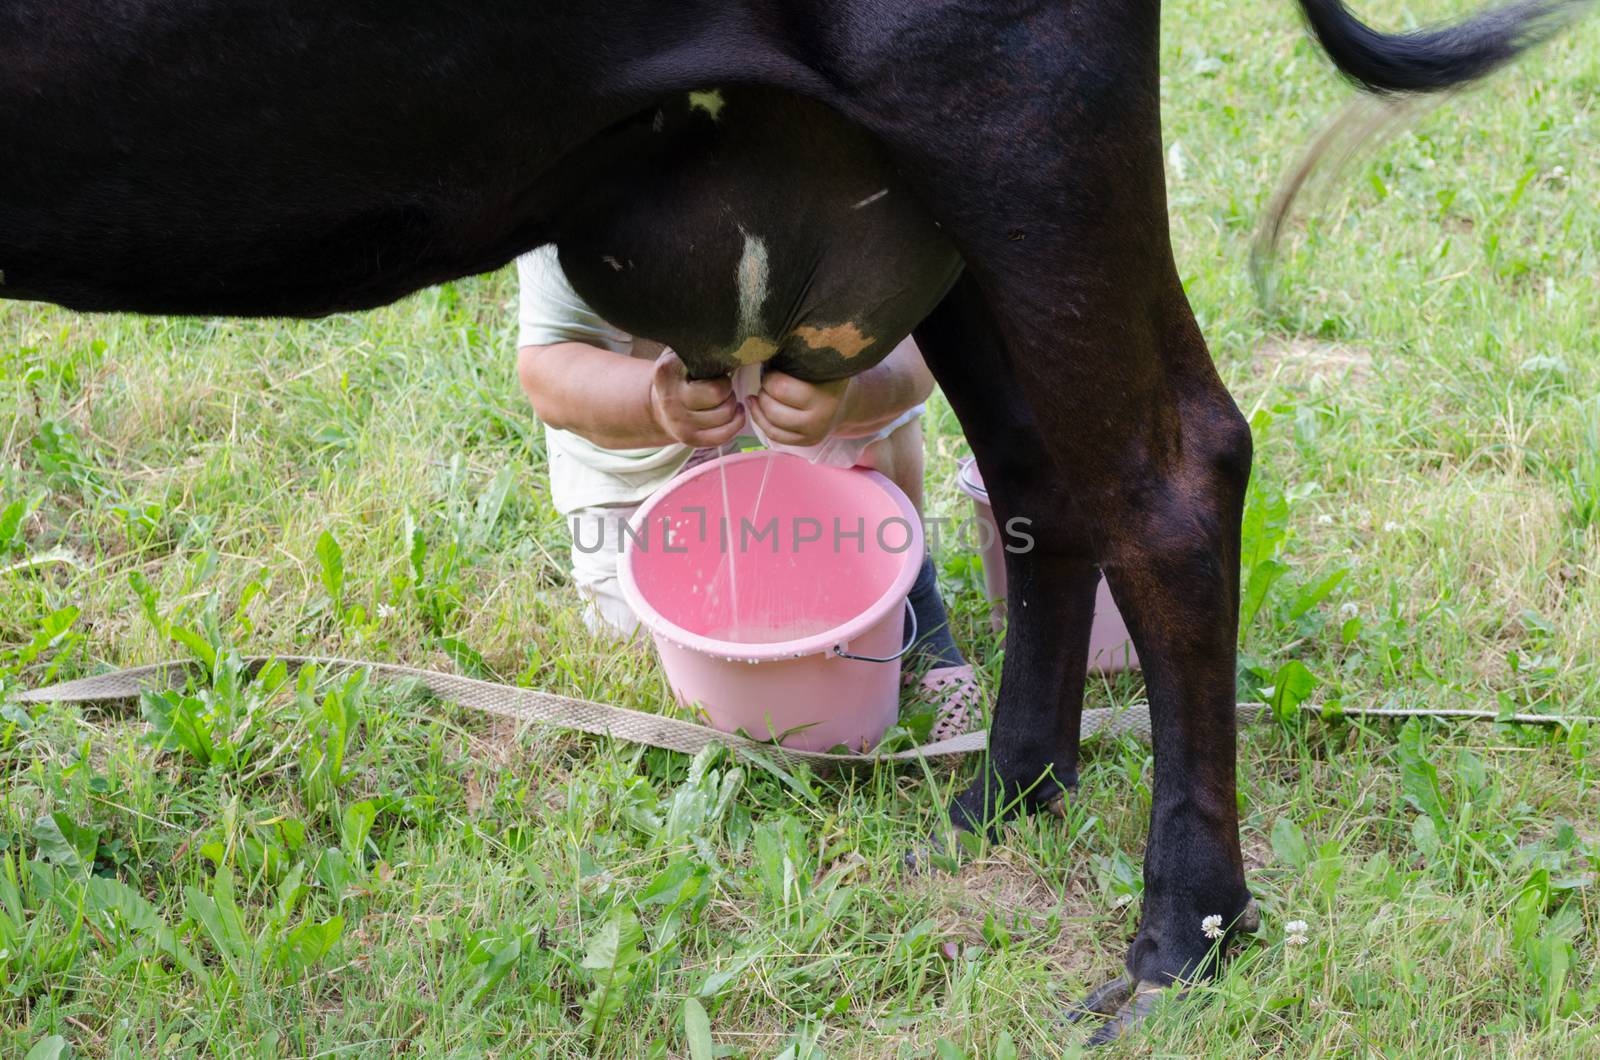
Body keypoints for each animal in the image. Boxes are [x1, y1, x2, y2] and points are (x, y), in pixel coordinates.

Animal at [0, 0, 1574, 1043]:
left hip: (1022, 122)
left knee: (1173, 475)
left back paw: (1178, 938)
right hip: (949, 192)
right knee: (1040, 475)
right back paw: (1008, 787)